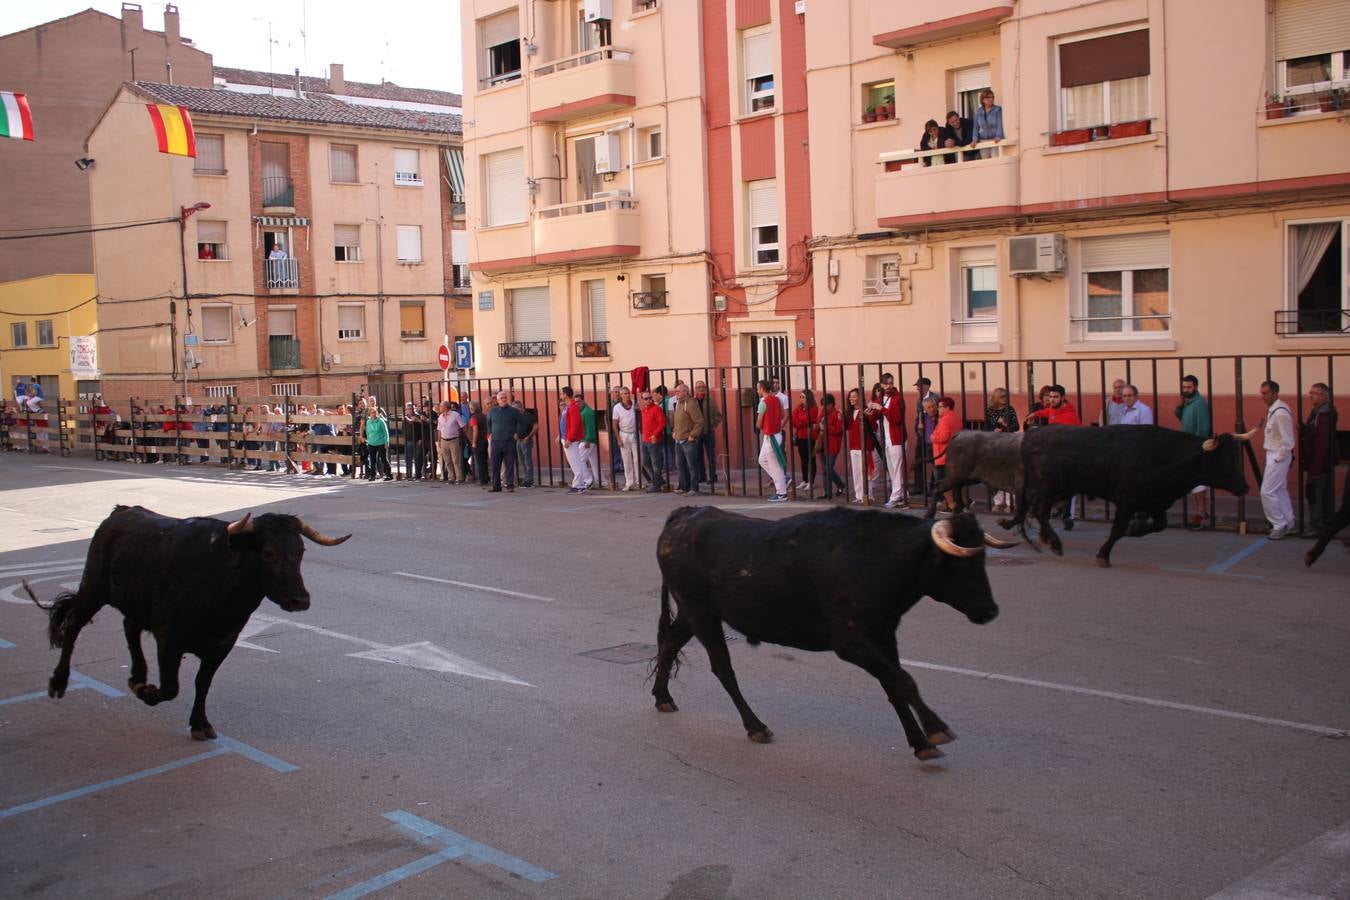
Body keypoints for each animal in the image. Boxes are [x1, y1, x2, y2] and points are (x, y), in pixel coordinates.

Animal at [29, 504, 353, 744]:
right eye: (269, 553)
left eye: (300, 552)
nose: (300, 600)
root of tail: (120, 512)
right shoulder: (168, 640)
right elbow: (171, 687)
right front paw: (149, 694)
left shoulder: (222, 644)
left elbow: (202, 682)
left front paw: (199, 723)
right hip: (93, 587)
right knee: (73, 626)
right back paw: (59, 682)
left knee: (130, 627)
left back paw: (137, 677)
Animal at [653, 507, 1015, 761]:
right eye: (958, 564)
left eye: (983, 558)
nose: (989, 611)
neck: (877, 558)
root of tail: (683, 517)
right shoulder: (850, 643)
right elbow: (905, 681)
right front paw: (936, 729)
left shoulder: (884, 637)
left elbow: (894, 685)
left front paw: (920, 743)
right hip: (701, 615)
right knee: (723, 669)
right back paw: (755, 726)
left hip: (691, 614)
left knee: (669, 643)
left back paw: (663, 697)